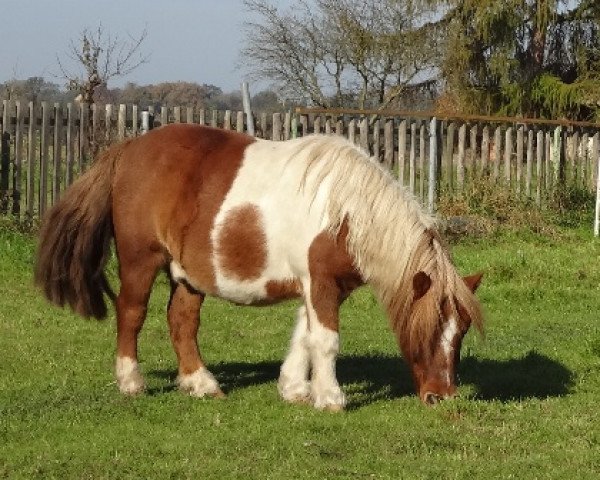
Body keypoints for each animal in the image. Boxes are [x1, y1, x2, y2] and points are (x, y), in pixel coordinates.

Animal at [35, 123, 482, 408]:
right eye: (426, 330)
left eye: (459, 334)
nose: (441, 397)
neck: (346, 211)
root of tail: (128, 148)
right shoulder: (320, 282)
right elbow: (325, 340)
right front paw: (330, 398)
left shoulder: (321, 286)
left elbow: (304, 334)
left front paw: (294, 389)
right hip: (140, 260)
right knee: (131, 313)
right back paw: (131, 382)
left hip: (188, 275)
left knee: (182, 322)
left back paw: (200, 383)